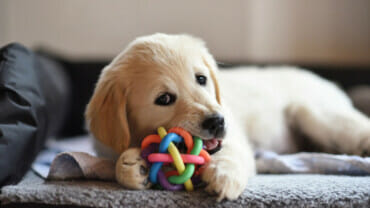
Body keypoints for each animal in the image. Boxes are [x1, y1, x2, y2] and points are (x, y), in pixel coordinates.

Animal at [85, 33, 370, 201]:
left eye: (201, 79)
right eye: (164, 99)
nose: (217, 121)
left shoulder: (234, 139)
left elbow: (230, 154)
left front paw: (224, 175)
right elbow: (116, 162)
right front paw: (132, 166)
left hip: (312, 112)